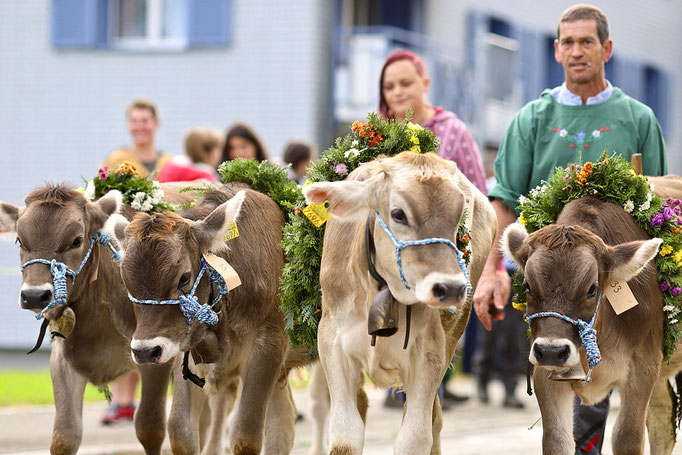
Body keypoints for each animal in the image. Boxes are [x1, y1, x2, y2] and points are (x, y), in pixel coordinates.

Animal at [0, 184, 194, 455]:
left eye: (76, 240)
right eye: (20, 240)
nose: (34, 295)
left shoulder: (156, 354)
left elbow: (150, 427)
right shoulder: (62, 359)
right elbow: (65, 436)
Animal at [105, 184, 294, 455]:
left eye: (184, 277)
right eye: (125, 280)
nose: (144, 351)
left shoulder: (270, 345)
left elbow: (246, 436)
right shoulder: (186, 349)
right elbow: (181, 432)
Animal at [302, 153, 494, 455]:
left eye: (458, 215)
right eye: (399, 214)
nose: (450, 288)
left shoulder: (429, 354)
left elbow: (415, 437)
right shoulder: (332, 344)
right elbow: (345, 434)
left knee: (435, 420)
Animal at [500, 194, 680, 454]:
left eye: (592, 289)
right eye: (527, 285)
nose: (552, 351)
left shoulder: (644, 368)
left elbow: (627, 437)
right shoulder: (545, 374)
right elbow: (557, 440)